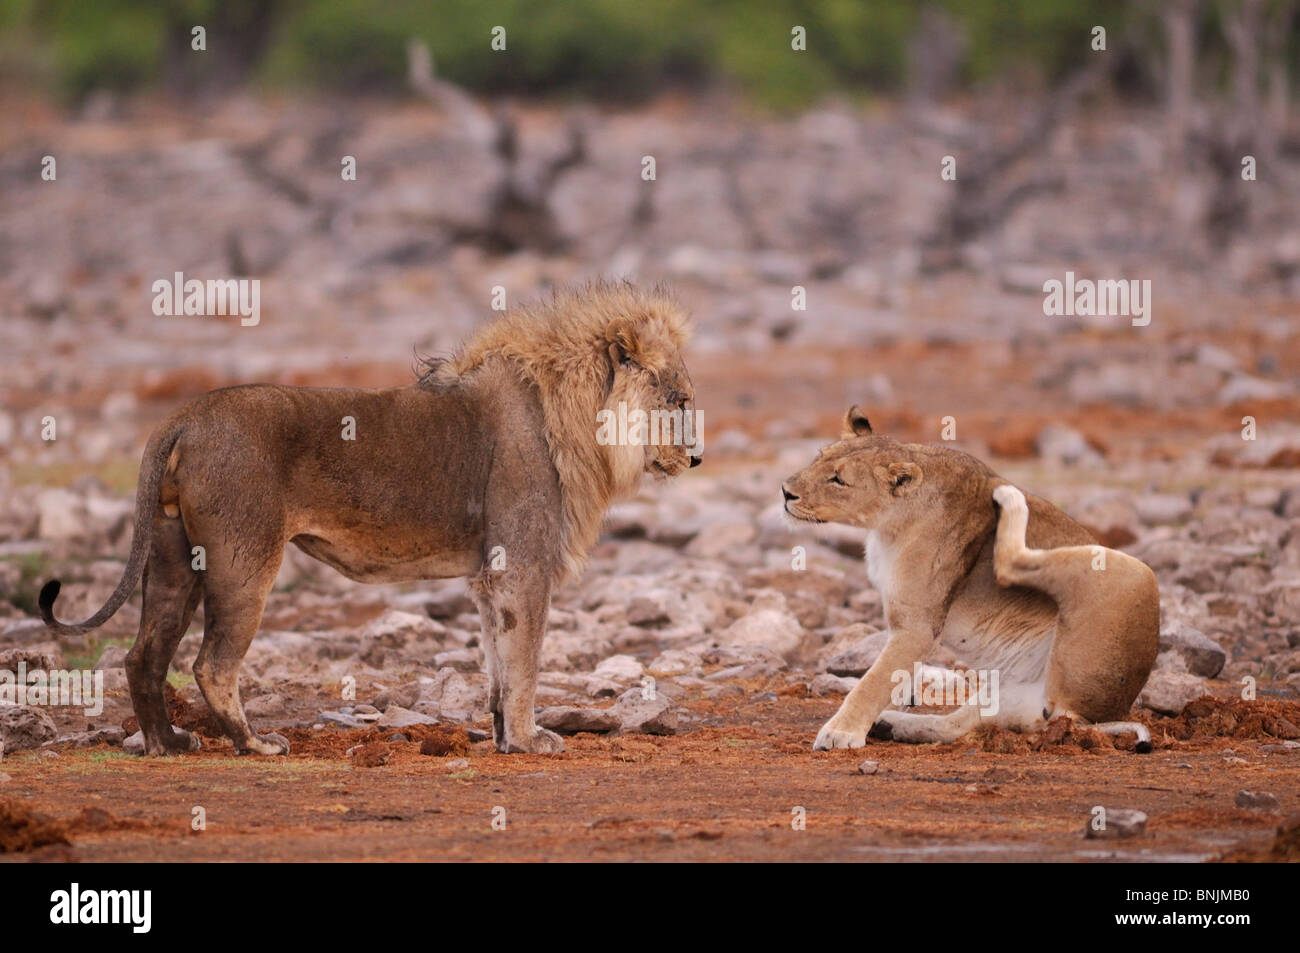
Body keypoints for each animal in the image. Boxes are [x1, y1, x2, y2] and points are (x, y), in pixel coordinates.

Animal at [40, 280, 702, 748]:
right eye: (677, 400)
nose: (696, 458)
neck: (573, 418)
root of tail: (182, 417)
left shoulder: (489, 573)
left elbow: (497, 659)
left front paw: (502, 739)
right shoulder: (522, 566)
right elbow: (524, 662)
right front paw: (530, 741)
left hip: (174, 556)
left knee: (143, 656)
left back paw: (167, 745)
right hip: (244, 559)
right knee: (212, 665)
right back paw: (255, 745)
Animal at [780, 405, 1159, 754]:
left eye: (838, 480)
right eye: (818, 457)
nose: (785, 492)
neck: (887, 527)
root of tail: (1085, 717)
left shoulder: (918, 625)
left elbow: (873, 681)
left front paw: (840, 733)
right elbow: (896, 673)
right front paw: (897, 700)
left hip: (1130, 570)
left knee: (1010, 564)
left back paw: (1010, 497)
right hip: (1003, 696)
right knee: (956, 725)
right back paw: (891, 725)